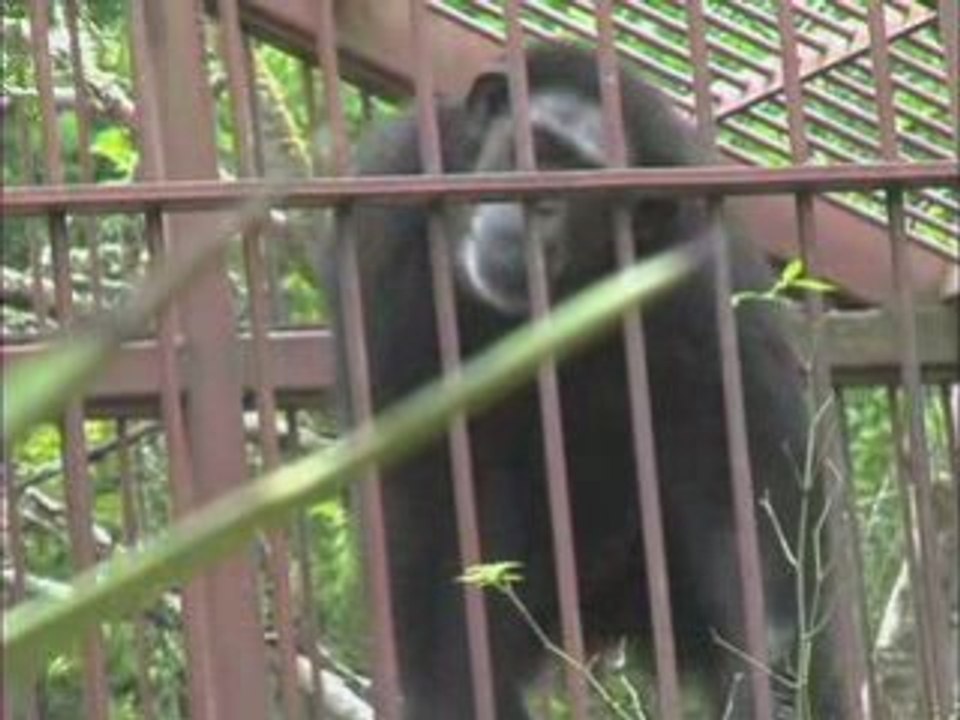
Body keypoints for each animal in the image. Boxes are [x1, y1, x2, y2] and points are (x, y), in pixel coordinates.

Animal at [326, 43, 845, 719]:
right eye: (535, 148)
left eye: (575, 181)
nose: (535, 209)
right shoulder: (388, 222)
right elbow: (428, 493)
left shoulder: (696, 269)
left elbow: (748, 475)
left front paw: (770, 670)